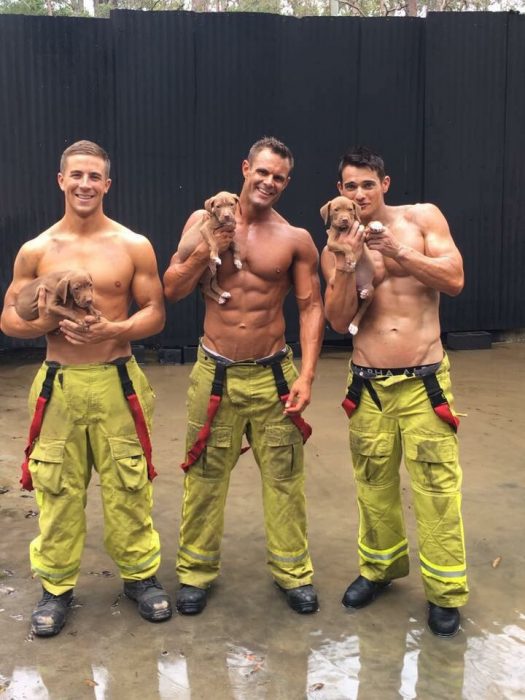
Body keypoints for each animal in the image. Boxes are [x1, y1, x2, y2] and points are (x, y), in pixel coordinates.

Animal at [318, 197, 378, 336]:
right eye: (336, 210)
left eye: (350, 209)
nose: (345, 219)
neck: (344, 229)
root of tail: (360, 288)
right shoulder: (331, 242)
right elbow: (344, 245)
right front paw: (350, 257)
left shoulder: (361, 232)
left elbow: (366, 225)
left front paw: (376, 225)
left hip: (371, 289)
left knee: (363, 309)